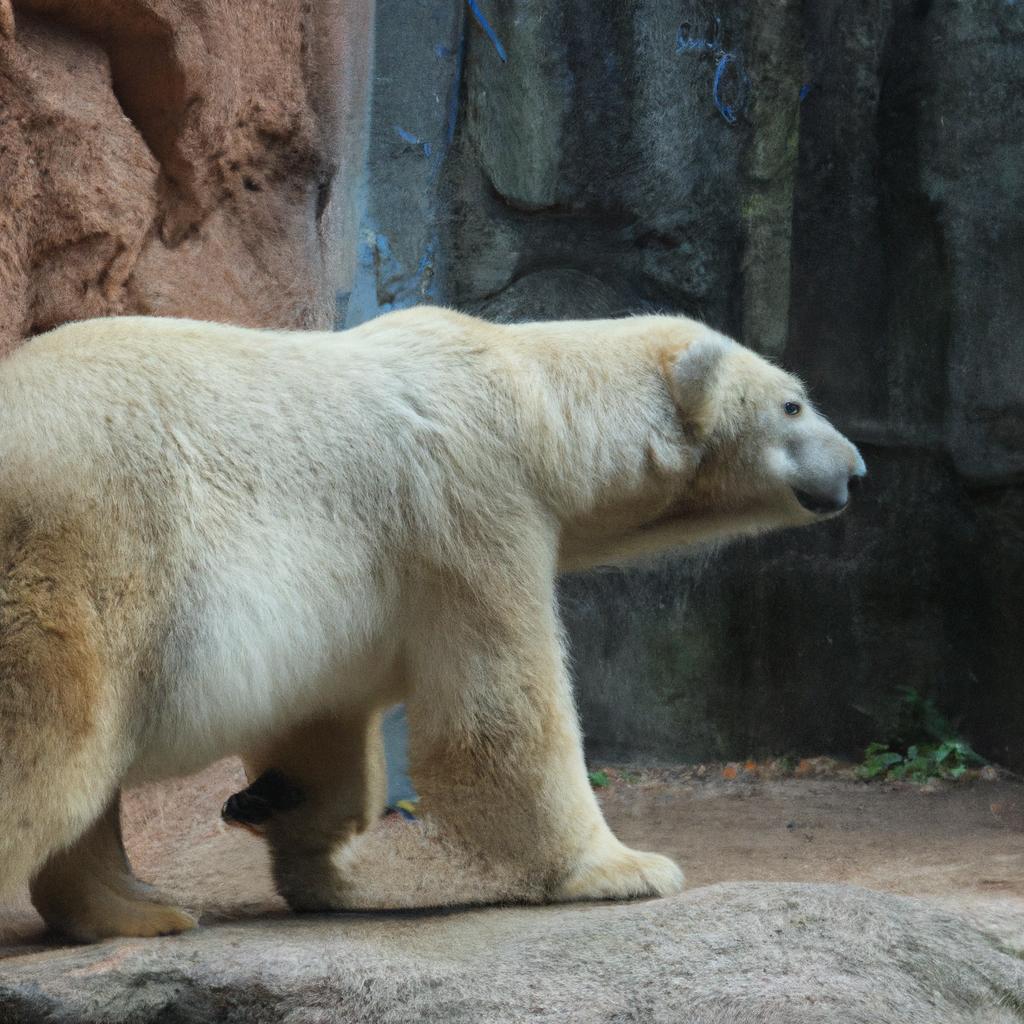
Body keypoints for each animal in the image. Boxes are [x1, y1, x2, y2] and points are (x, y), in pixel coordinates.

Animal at [0, 308, 865, 941]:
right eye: (793, 403)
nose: (856, 468)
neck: (530, 397)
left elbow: (323, 724)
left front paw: (308, 845)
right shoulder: (471, 502)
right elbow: (499, 716)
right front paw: (627, 868)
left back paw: (142, 909)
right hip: (88, 547)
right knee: (52, 740)